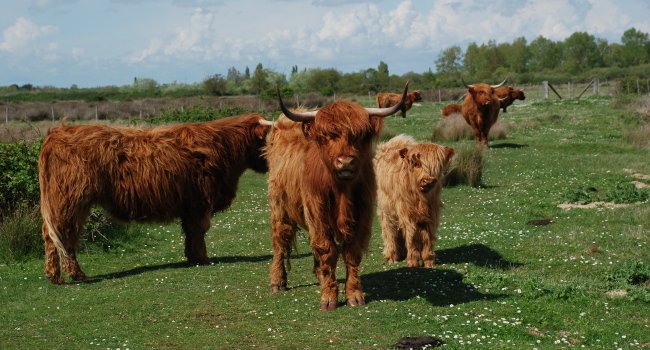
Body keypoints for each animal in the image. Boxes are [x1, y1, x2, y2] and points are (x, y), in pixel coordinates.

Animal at [38, 113, 270, 284]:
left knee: (54, 236)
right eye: (268, 138)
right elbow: (199, 231)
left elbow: (190, 233)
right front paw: (203, 259)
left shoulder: (190, 205)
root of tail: (56, 133)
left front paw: (191, 257)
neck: (225, 147)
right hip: (70, 201)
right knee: (64, 236)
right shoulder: (201, 203)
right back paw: (76, 275)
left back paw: (54, 276)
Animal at [264, 83, 408, 310]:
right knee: (280, 240)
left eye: (358, 136)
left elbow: (351, 252)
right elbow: (327, 250)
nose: (345, 162)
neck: (342, 192)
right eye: (327, 136)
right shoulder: (317, 211)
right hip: (279, 206)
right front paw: (329, 297)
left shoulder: (362, 213)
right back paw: (277, 281)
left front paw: (354, 295)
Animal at [372, 134, 454, 268]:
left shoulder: (431, 214)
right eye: (416, 164)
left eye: (437, 166)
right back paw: (391, 256)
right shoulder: (407, 214)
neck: (421, 198)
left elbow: (428, 238)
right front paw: (413, 262)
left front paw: (429, 262)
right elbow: (412, 236)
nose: (428, 181)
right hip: (386, 209)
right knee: (389, 229)